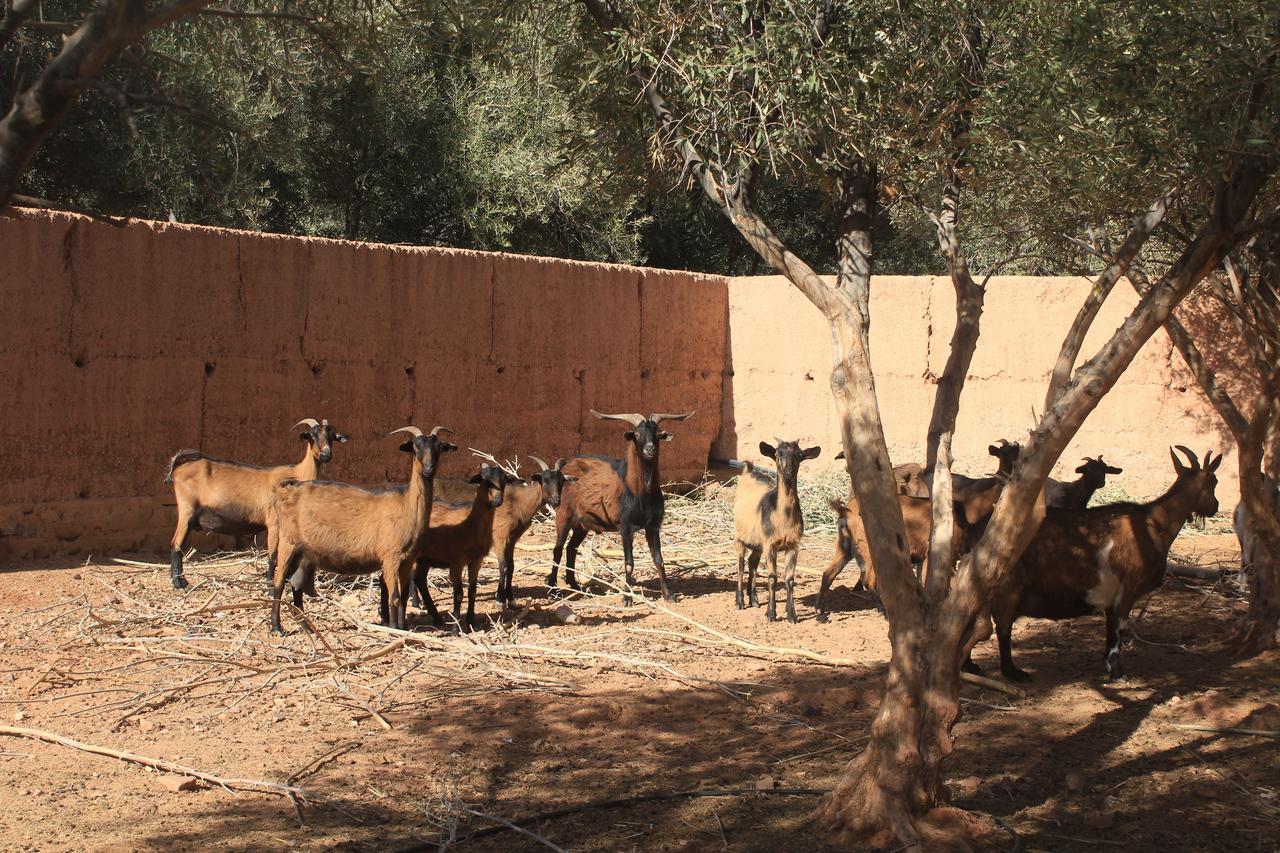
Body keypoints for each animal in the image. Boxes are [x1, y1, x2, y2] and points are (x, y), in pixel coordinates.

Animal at [165, 414, 348, 589]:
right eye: (313, 435)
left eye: (331, 436)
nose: (326, 454)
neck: (296, 474)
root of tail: (179, 467)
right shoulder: (274, 522)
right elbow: (273, 556)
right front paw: (270, 585)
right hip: (186, 509)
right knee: (175, 544)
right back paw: (179, 584)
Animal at [414, 461, 524, 627]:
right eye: (484, 480)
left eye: (504, 480)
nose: (498, 500)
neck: (471, 524)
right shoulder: (456, 562)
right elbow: (459, 593)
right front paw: (457, 625)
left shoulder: (476, 561)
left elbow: (472, 591)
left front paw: (471, 621)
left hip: (424, 559)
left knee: (419, 580)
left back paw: (436, 618)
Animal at [545, 409, 696, 601]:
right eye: (637, 434)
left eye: (657, 434)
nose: (650, 449)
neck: (639, 493)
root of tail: (566, 467)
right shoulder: (626, 527)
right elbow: (629, 563)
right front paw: (627, 598)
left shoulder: (653, 526)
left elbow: (659, 560)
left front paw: (669, 595)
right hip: (563, 515)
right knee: (557, 549)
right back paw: (553, 588)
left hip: (582, 525)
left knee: (571, 548)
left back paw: (574, 584)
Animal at [732, 438, 819, 617]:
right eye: (778, 454)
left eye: (799, 455)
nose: (788, 473)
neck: (782, 518)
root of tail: (749, 471)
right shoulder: (770, 545)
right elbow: (772, 577)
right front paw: (771, 613)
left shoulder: (793, 545)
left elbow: (789, 579)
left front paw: (792, 614)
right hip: (739, 538)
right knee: (740, 566)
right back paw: (740, 602)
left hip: (758, 544)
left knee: (752, 563)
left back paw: (754, 599)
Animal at [972, 445, 1223, 676]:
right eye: (1213, 481)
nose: (1215, 507)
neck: (1153, 523)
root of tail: (981, 530)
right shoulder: (1128, 588)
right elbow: (1120, 629)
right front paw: (1117, 671)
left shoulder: (1113, 596)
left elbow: (1111, 629)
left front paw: (1108, 665)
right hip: (1007, 588)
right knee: (1001, 627)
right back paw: (1012, 673)